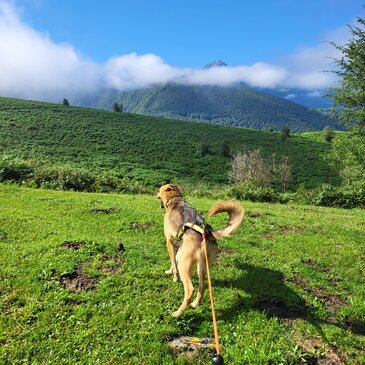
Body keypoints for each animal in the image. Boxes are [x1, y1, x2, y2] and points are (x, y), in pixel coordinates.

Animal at [156, 183, 243, 314]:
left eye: (159, 190)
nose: (156, 195)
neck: (175, 199)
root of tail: (207, 233)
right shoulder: (180, 246)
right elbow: (174, 260)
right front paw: (170, 271)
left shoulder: (169, 241)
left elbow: (173, 261)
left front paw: (175, 277)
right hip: (202, 266)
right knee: (202, 287)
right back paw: (196, 303)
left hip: (185, 266)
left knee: (190, 290)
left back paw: (178, 313)